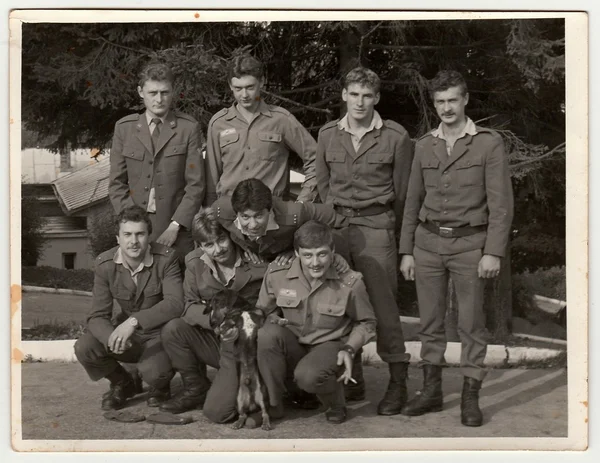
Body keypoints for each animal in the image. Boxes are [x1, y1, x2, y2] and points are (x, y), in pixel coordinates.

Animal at [206, 290, 272, 432]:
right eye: (211, 306)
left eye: (218, 303)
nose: (212, 323)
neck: (243, 310)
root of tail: (252, 401)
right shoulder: (230, 321)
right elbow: (226, 325)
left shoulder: (260, 317)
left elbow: (270, 317)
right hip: (239, 400)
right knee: (243, 415)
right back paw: (237, 423)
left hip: (263, 395)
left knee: (265, 413)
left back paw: (265, 424)